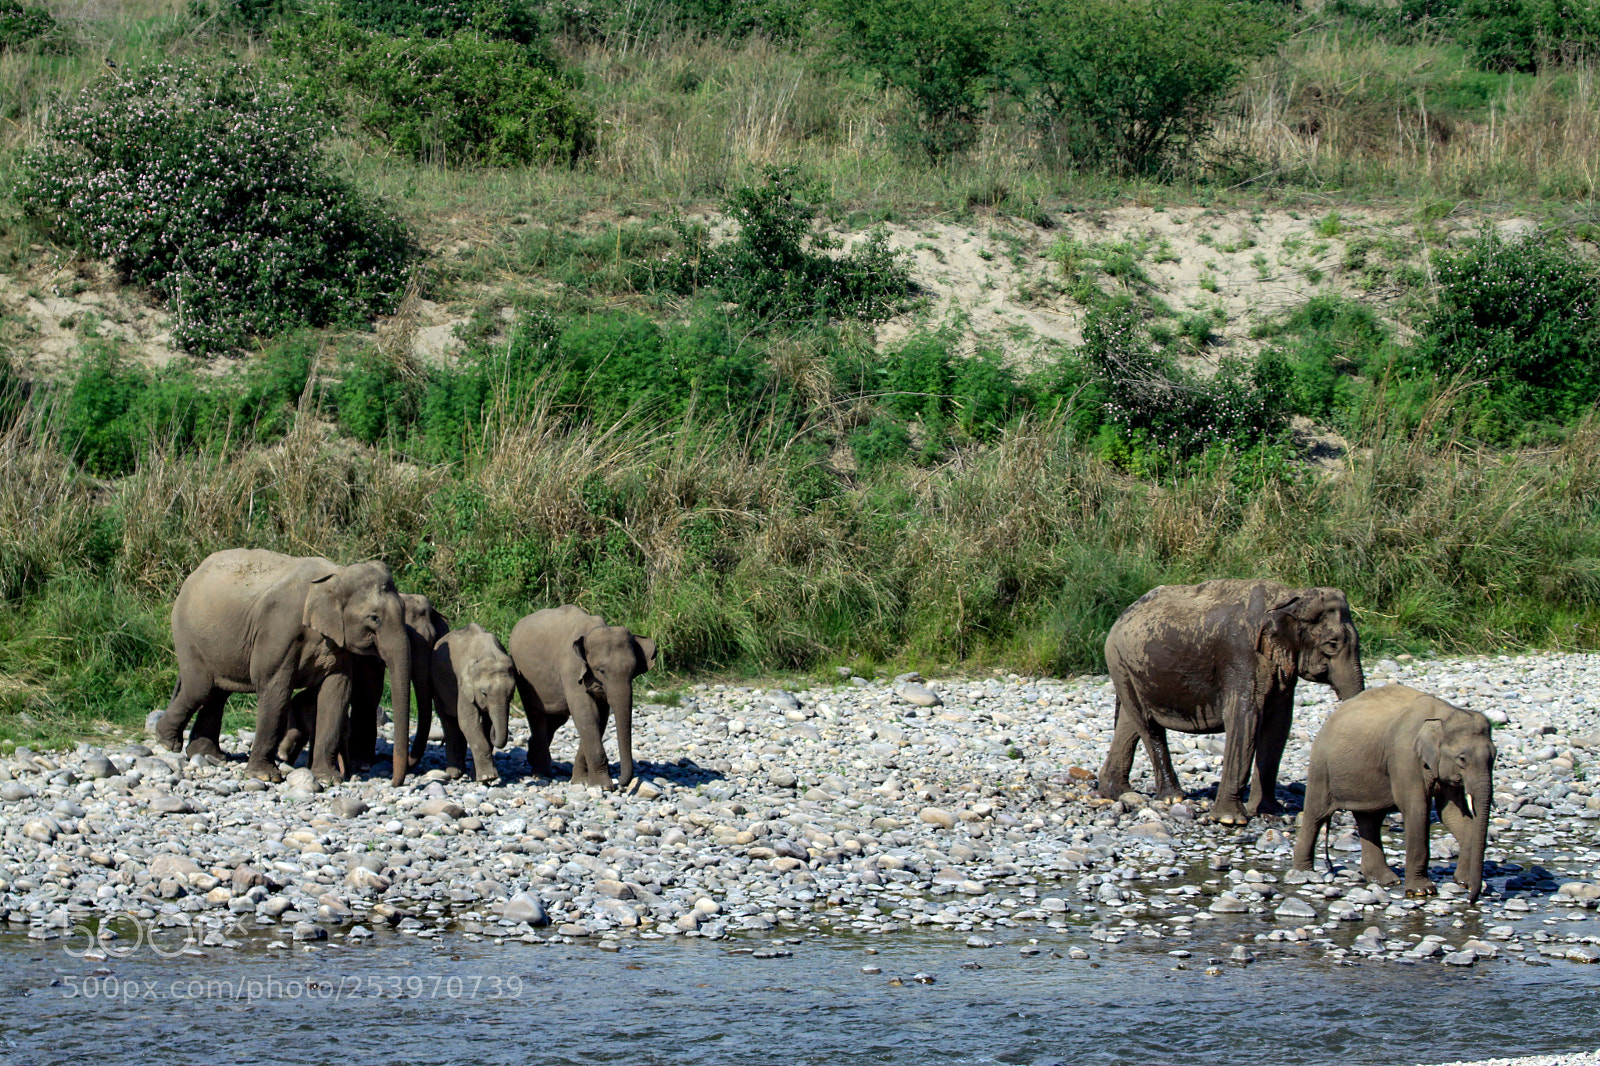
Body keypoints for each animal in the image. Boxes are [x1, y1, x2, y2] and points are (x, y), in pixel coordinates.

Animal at [153, 549, 413, 786]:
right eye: (374, 618)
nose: (393, 782)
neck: (336, 575)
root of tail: (194, 573)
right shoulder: (278, 629)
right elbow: (276, 688)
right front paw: (264, 776)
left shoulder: (339, 645)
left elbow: (336, 693)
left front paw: (329, 779)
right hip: (187, 632)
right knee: (200, 687)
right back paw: (167, 742)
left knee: (218, 692)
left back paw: (208, 754)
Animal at [424, 624, 516, 782]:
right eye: (484, 693)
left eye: (511, 694)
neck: (489, 653)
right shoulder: (462, 684)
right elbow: (467, 720)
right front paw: (487, 777)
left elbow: (484, 725)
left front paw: (478, 776)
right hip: (437, 687)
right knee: (449, 721)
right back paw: (455, 774)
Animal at [507, 605, 656, 789]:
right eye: (601, 670)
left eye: (633, 671)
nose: (620, 782)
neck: (593, 630)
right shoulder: (571, 669)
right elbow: (586, 714)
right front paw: (603, 786)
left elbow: (600, 717)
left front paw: (582, 781)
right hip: (524, 676)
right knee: (536, 715)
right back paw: (541, 774)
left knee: (557, 717)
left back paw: (532, 755)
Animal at [1097, 579, 1365, 825]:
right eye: (1333, 644)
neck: (1291, 596)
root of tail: (1122, 615)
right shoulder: (1242, 658)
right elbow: (1245, 719)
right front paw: (1230, 820)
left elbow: (1278, 726)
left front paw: (1270, 812)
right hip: (1119, 659)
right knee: (1147, 724)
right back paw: (1173, 798)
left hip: (1127, 667)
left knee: (1130, 722)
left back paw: (1116, 792)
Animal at [1292, 683, 1496, 902]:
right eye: (1462, 759)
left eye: (1494, 756)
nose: (1472, 899)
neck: (1445, 714)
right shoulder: (1404, 756)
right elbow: (1417, 810)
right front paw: (1422, 891)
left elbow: (1452, 814)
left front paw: (1465, 882)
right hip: (1321, 767)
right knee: (1316, 814)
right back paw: (1304, 873)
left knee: (1370, 819)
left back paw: (1386, 880)